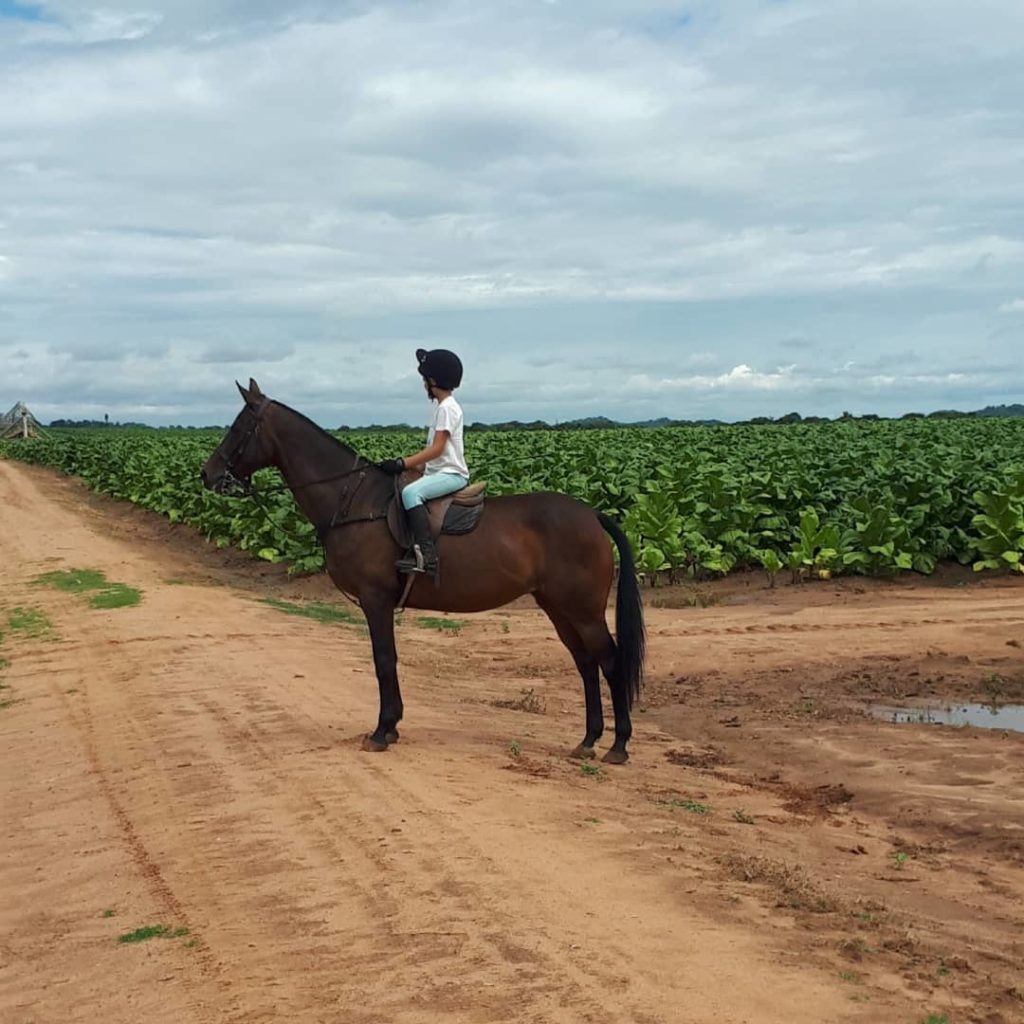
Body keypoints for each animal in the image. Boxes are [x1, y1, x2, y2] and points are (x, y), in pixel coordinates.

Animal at [198, 378, 643, 761]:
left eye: (240, 427)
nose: (207, 474)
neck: (355, 502)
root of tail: (591, 514)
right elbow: (387, 660)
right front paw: (391, 727)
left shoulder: (375, 600)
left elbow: (384, 660)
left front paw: (382, 731)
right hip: (558, 606)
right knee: (585, 663)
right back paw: (588, 740)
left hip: (582, 610)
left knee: (608, 660)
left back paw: (618, 745)